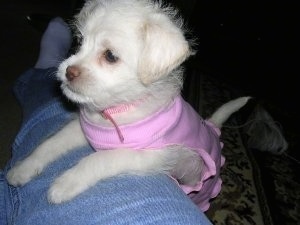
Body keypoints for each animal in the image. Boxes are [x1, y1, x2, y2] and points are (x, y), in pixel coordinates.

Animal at [7, 0, 250, 209]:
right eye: (80, 41)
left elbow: (99, 158)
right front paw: (22, 169)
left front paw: (64, 184)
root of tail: (213, 129)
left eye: (110, 56)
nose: (68, 72)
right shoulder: (81, 130)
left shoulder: (145, 155)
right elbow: (49, 144)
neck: (116, 111)